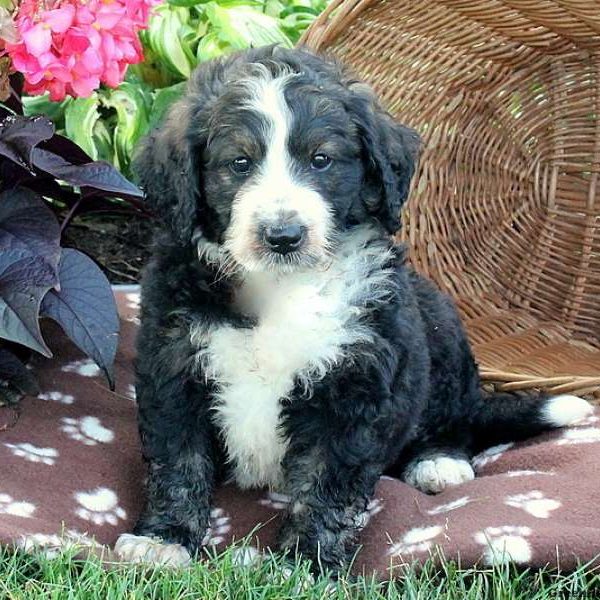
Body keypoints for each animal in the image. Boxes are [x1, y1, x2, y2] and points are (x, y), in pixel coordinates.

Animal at [115, 45, 592, 572]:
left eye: (321, 160)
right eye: (239, 163)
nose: (283, 236)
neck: (282, 287)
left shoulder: (355, 384)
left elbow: (328, 483)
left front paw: (305, 561)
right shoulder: (175, 364)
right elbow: (179, 460)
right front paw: (164, 539)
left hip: (439, 327)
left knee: (459, 418)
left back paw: (439, 462)